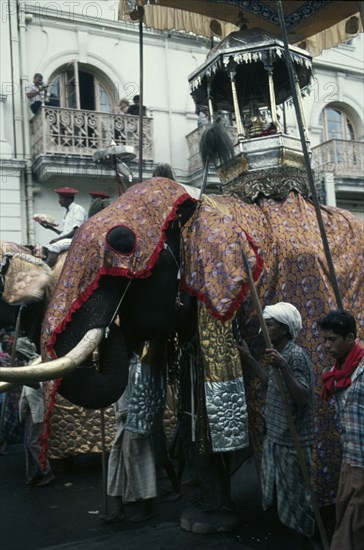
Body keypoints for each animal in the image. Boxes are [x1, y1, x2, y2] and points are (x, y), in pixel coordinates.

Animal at [1, 176, 362, 536]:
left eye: (122, 242)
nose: (112, 328)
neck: (199, 205)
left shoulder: (223, 291)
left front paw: (204, 519)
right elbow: (195, 405)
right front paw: (203, 519)